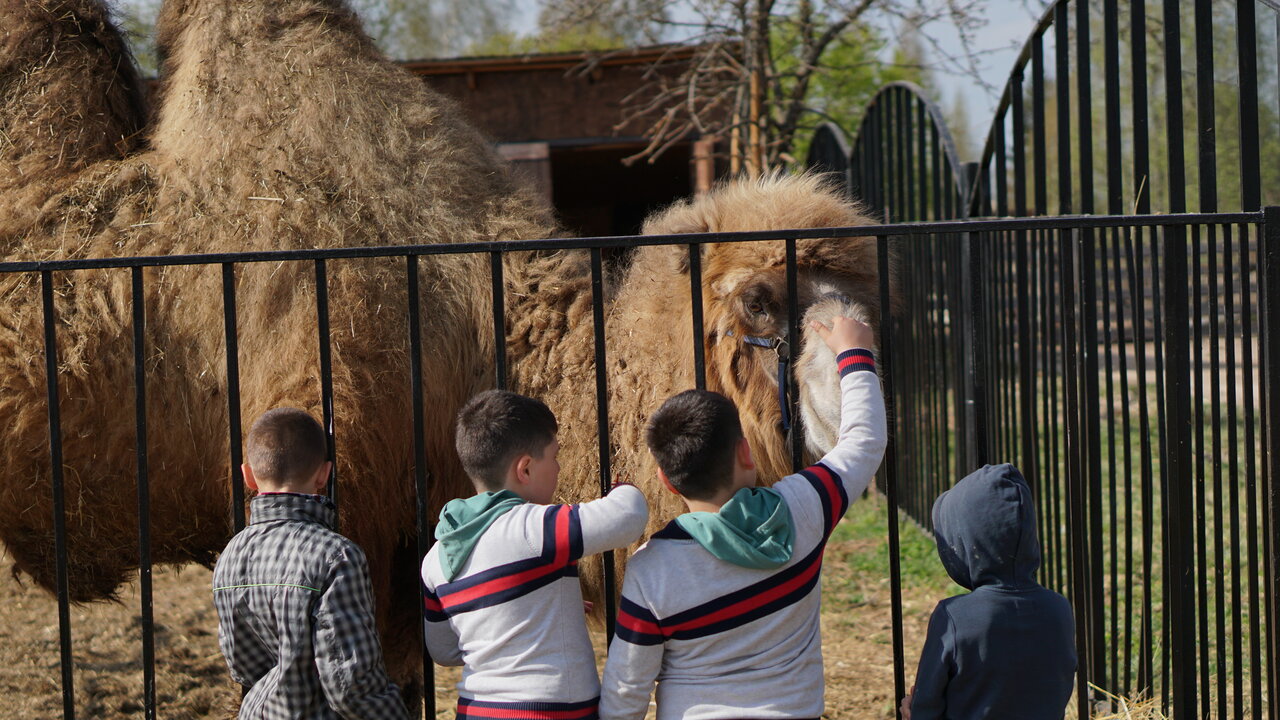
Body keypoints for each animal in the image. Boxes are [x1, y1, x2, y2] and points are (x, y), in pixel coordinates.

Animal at [0, 0, 892, 701]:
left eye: (858, 301)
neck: (477, 315)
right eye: (760, 300)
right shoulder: (344, 508)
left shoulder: (402, 557)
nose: (847, 405)